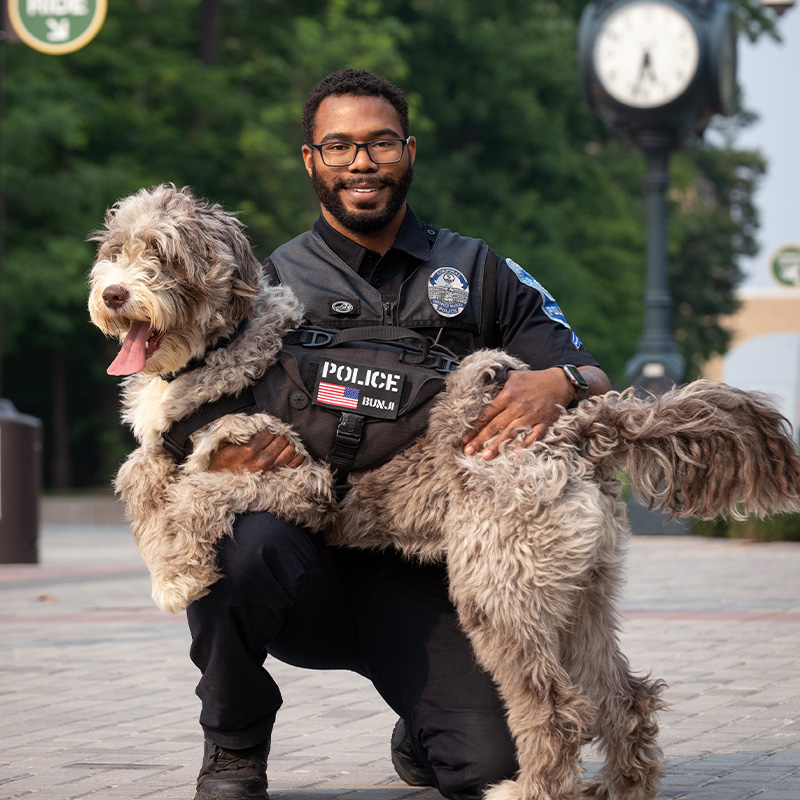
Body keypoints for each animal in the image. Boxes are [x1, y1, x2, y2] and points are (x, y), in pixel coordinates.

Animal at [87, 184, 800, 800]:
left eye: (163, 253)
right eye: (114, 248)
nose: (114, 294)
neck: (227, 352)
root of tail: (579, 427)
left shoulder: (292, 470)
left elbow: (194, 496)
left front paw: (179, 572)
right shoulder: (167, 448)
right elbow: (139, 477)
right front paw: (163, 554)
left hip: (500, 587)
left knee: (557, 707)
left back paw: (530, 789)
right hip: (581, 592)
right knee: (624, 696)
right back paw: (621, 787)